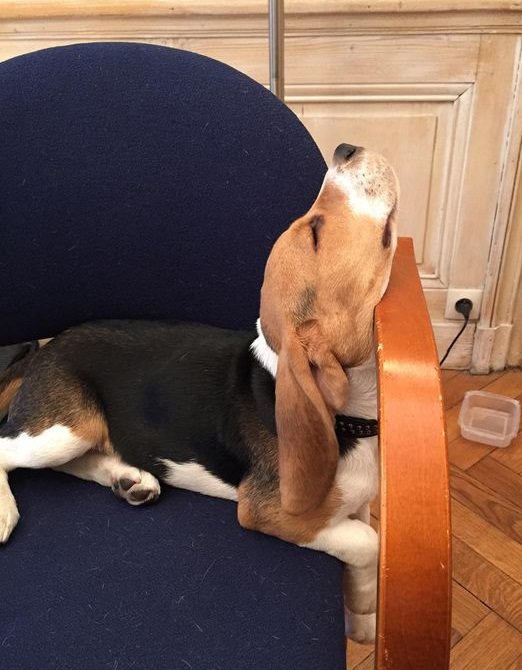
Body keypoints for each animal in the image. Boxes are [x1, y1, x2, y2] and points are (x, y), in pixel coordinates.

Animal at [0, 144, 396, 648]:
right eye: (316, 232)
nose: (346, 149)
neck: (349, 418)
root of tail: (47, 347)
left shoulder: (357, 503)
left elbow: (364, 543)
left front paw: (362, 619)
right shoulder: (270, 512)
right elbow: (369, 541)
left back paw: (129, 479)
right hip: (61, 430)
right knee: (5, 449)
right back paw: (5, 510)